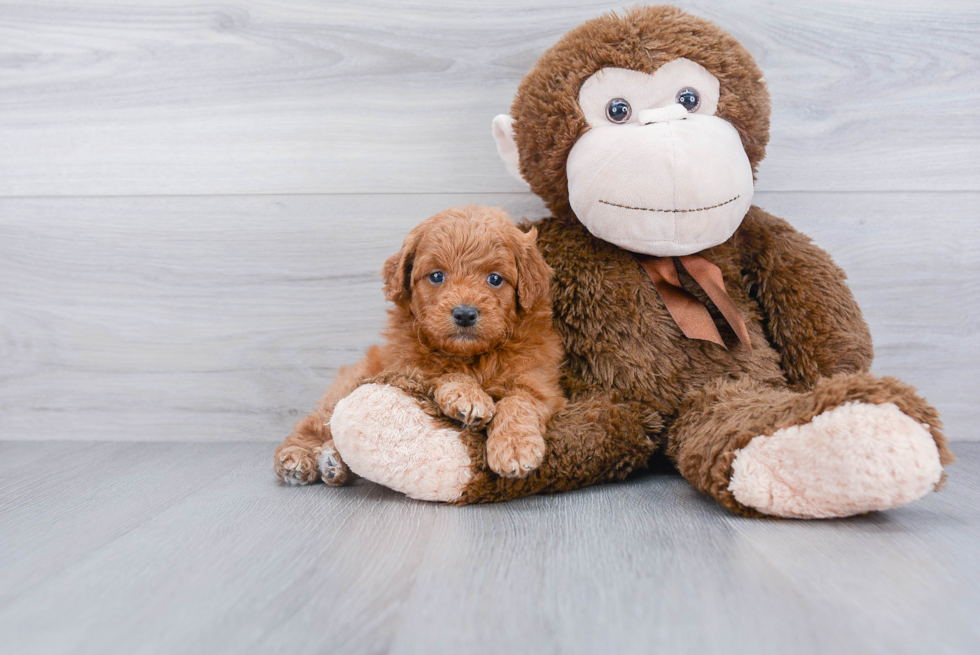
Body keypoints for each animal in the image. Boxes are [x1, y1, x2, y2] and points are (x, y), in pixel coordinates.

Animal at [276, 205, 568, 486]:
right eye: (437, 276)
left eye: (495, 279)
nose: (465, 314)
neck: (473, 357)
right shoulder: (407, 367)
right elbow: (440, 371)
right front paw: (468, 396)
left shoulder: (537, 381)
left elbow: (519, 403)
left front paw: (515, 448)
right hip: (348, 386)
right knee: (314, 424)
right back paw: (298, 458)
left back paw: (333, 462)